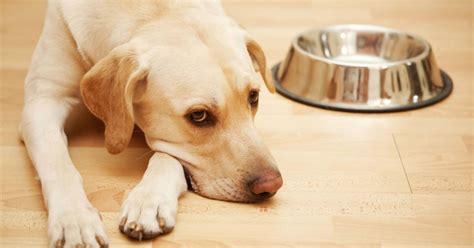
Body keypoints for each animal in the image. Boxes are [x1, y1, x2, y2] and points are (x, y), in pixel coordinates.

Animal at [19, 0, 282, 247]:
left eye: (253, 97)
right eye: (199, 115)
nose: (272, 184)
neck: (153, 10)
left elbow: (166, 157)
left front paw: (149, 201)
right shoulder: (42, 101)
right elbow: (59, 165)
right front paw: (74, 219)